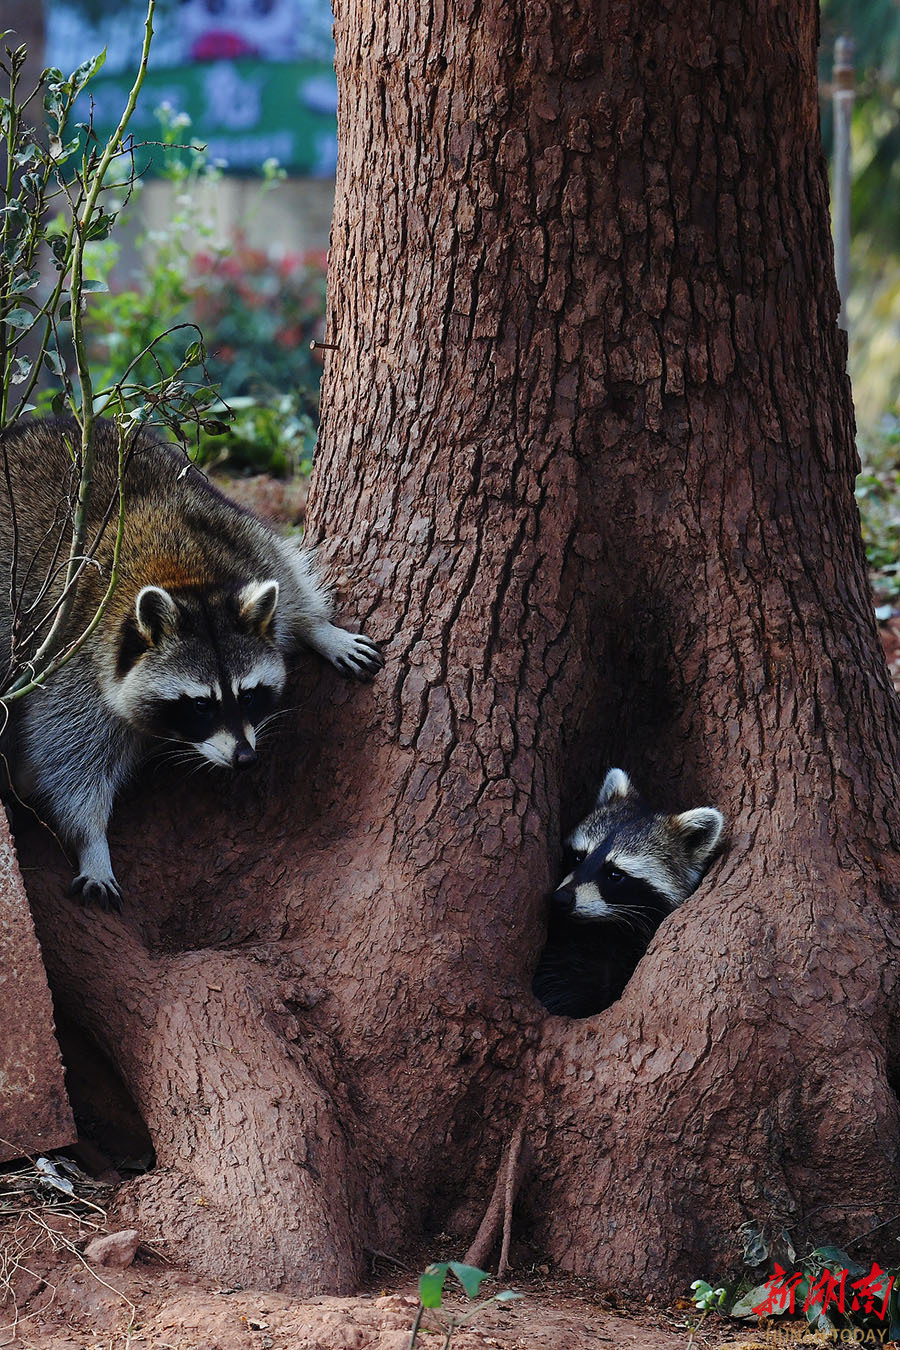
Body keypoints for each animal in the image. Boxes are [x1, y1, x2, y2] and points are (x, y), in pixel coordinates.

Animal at [0, 415, 383, 912]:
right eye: (201, 705)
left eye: (249, 696)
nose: (245, 759)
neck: (183, 579)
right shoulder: (77, 664)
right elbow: (70, 758)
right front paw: (92, 842)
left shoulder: (239, 539)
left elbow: (290, 581)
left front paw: (318, 629)